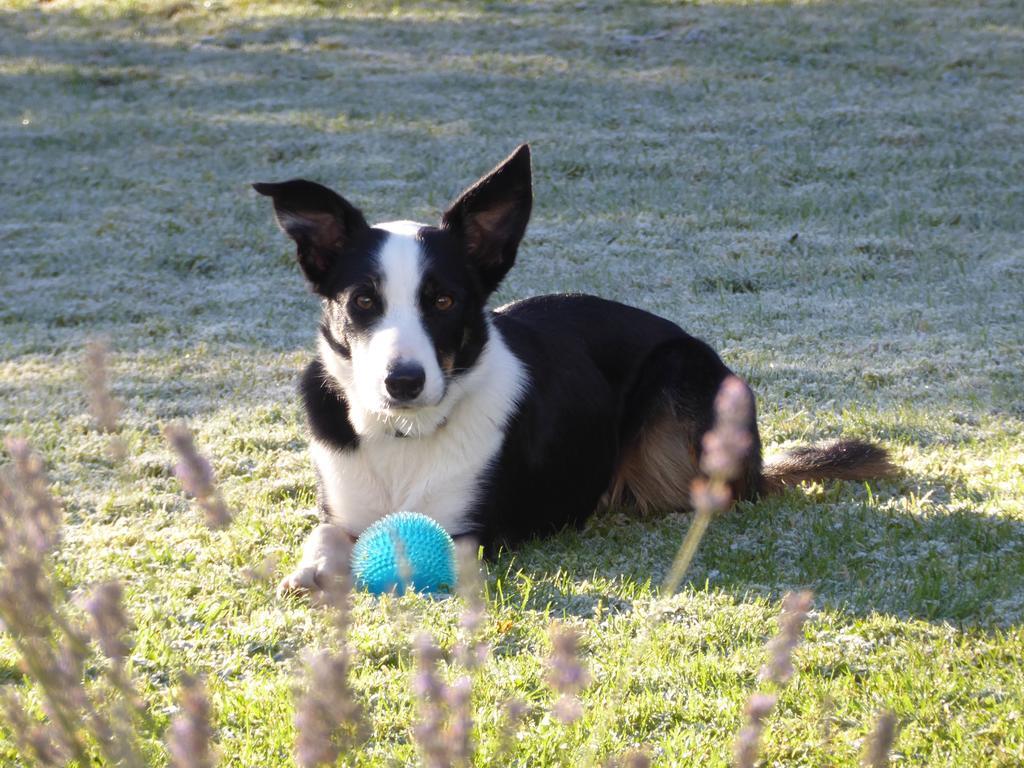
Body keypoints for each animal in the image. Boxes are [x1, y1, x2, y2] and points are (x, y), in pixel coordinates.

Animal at [253, 144, 888, 593]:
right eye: (363, 301)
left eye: (444, 301)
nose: (403, 382)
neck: (403, 437)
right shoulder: (342, 504)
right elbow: (325, 532)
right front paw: (311, 569)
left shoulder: (473, 530)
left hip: (679, 374)